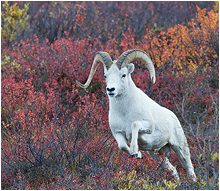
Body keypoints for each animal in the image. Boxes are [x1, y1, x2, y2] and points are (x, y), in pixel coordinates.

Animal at [76, 48, 197, 181]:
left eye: (123, 75)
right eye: (105, 76)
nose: (110, 90)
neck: (124, 113)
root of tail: (174, 117)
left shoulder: (148, 126)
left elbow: (134, 126)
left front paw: (134, 150)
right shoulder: (117, 133)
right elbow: (122, 146)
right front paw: (137, 154)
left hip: (180, 147)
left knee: (189, 168)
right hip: (157, 155)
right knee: (172, 170)